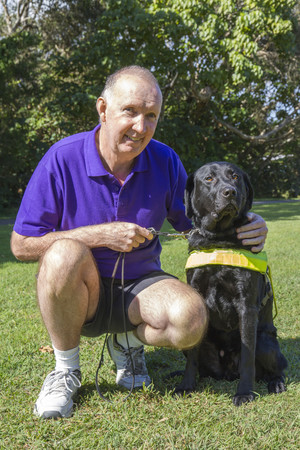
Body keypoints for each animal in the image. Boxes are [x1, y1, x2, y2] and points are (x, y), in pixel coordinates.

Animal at [175, 163, 288, 408]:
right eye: (208, 179)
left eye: (235, 177)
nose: (230, 192)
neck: (219, 239)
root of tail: (227, 373)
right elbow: (192, 358)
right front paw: (186, 385)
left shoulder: (246, 306)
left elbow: (247, 357)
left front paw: (244, 393)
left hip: (265, 342)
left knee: (277, 368)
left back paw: (276, 383)